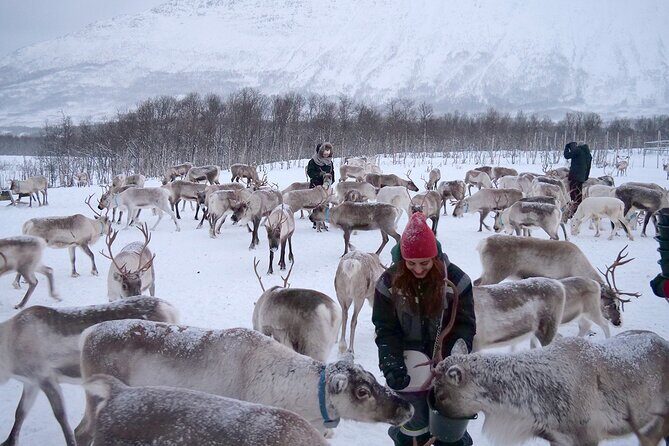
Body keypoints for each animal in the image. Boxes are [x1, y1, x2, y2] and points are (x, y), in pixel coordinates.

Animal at [0, 297, 179, 446]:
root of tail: (169, 309)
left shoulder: (45, 377)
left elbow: (60, 416)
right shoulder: (30, 381)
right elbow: (20, 412)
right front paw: (9, 441)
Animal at [474, 235, 641, 328]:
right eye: (612, 304)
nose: (619, 322)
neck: (577, 266)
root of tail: (482, 243)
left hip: (487, 272)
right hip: (495, 272)